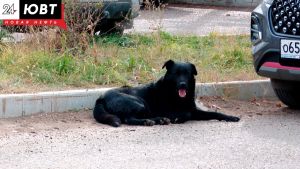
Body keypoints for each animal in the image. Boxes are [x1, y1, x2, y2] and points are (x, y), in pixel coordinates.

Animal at [92, 59, 240, 127]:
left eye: (187, 73)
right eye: (176, 73)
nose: (182, 84)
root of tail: (101, 97)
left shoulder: (195, 111)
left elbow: (216, 113)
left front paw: (231, 117)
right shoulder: (169, 110)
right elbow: (186, 114)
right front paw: (178, 118)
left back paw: (159, 120)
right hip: (139, 103)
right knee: (129, 119)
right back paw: (153, 121)